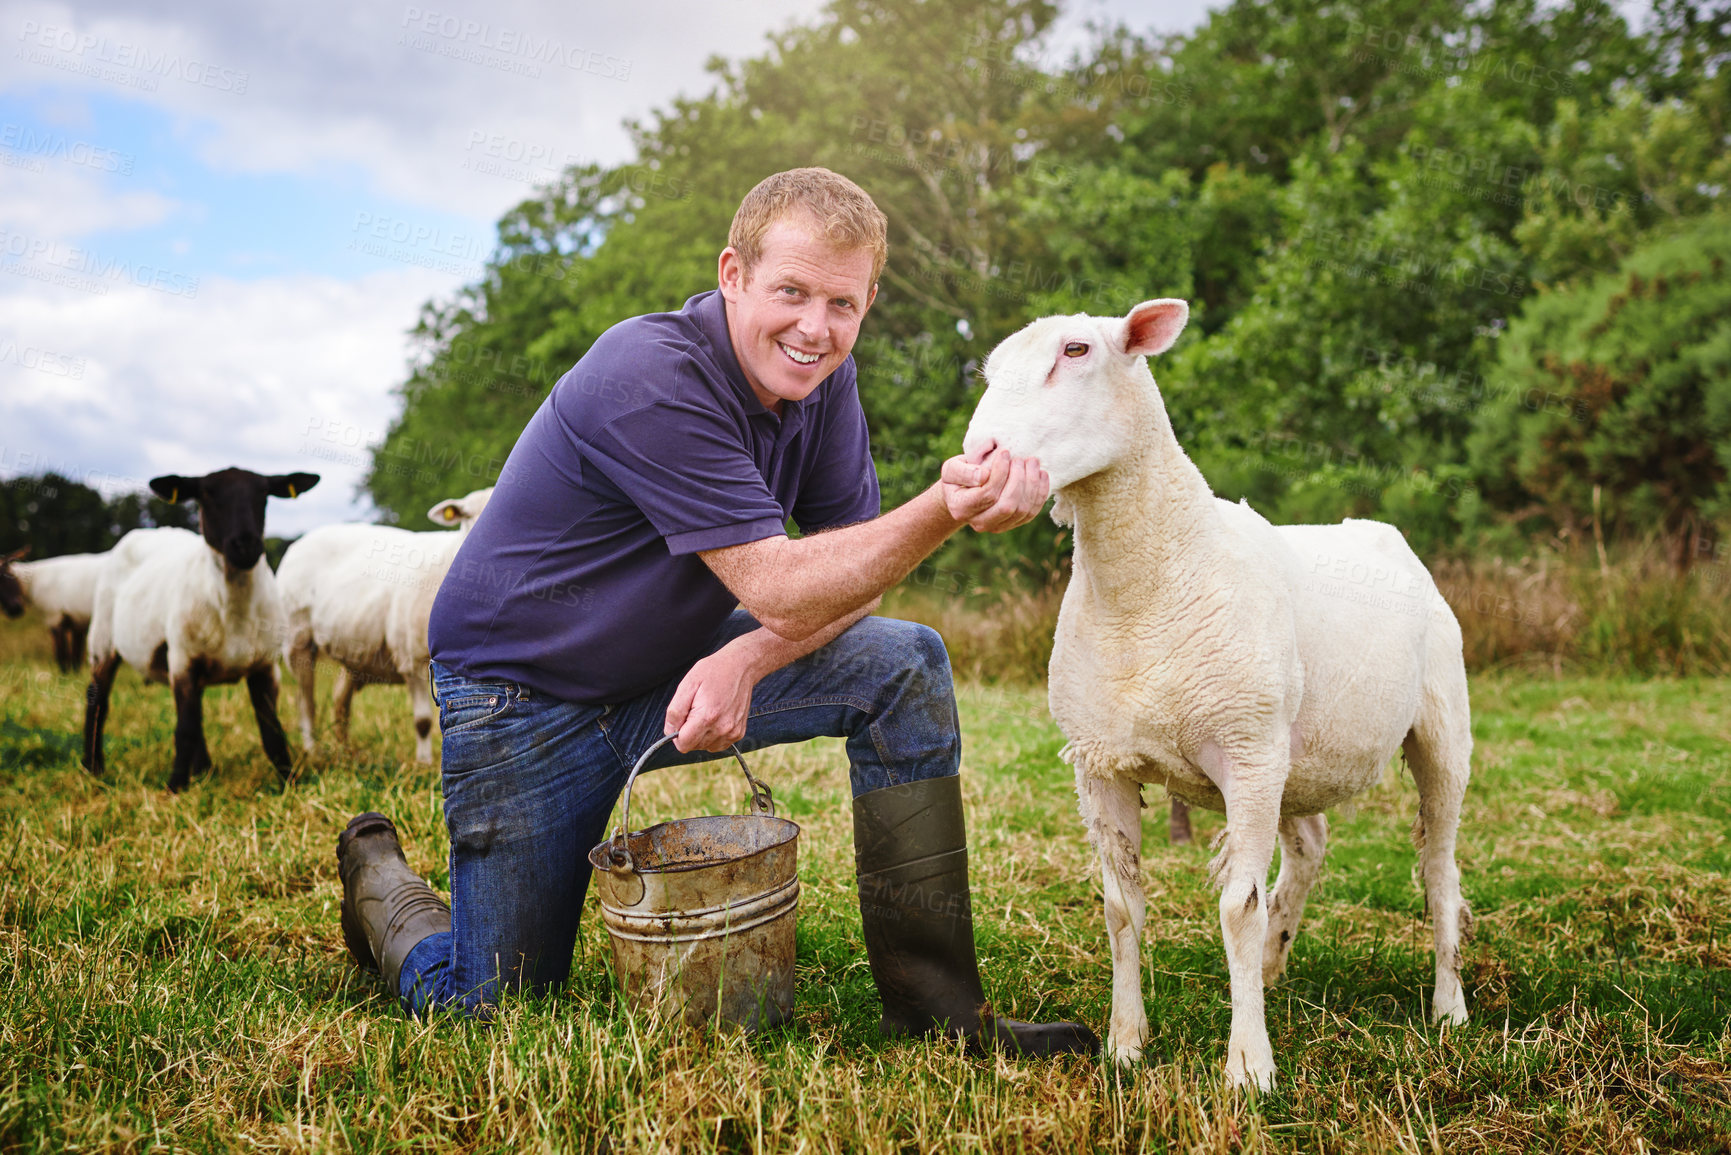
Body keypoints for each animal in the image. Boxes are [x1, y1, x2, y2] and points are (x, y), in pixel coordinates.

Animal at [81, 471, 318, 796]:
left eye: (264, 493)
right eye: (207, 494)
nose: (245, 545)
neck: (233, 609)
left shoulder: (266, 666)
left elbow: (271, 731)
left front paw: (289, 782)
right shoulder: (184, 659)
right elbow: (184, 730)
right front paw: (175, 787)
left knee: (196, 712)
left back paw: (205, 769)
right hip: (104, 638)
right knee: (97, 699)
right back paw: (93, 767)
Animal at [276, 488, 495, 768]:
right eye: (466, 515)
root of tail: (303, 539)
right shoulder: (412, 659)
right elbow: (423, 722)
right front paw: (424, 765)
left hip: (354, 650)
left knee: (340, 703)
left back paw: (346, 753)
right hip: (297, 640)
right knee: (306, 703)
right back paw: (313, 752)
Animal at [969, 301, 1467, 1094]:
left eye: (1076, 351)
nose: (976, 459)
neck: (1146, 586)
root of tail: (1381, 531)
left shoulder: (1247, 751)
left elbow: (1237, 905)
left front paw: (1249, 1068)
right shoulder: (1099, 761)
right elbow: (1120, 907)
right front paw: (1125, 1045)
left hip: (1438, 726)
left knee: (1439, 870)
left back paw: (1448, 1008)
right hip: (1294, 755)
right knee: (1308, 848)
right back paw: (1270, 966)